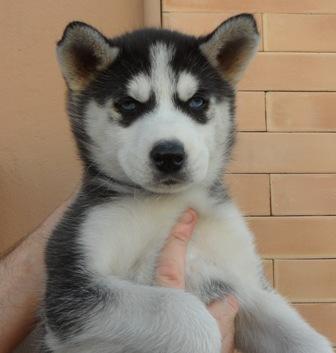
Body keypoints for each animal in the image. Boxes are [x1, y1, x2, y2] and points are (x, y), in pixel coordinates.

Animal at [42, 14, 334, 352]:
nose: (169, 154)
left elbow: (305, 338)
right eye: (128, 104)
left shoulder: (245, 283)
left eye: (196, 102)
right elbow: (185, 313)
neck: (169, 202)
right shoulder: (70, 286)